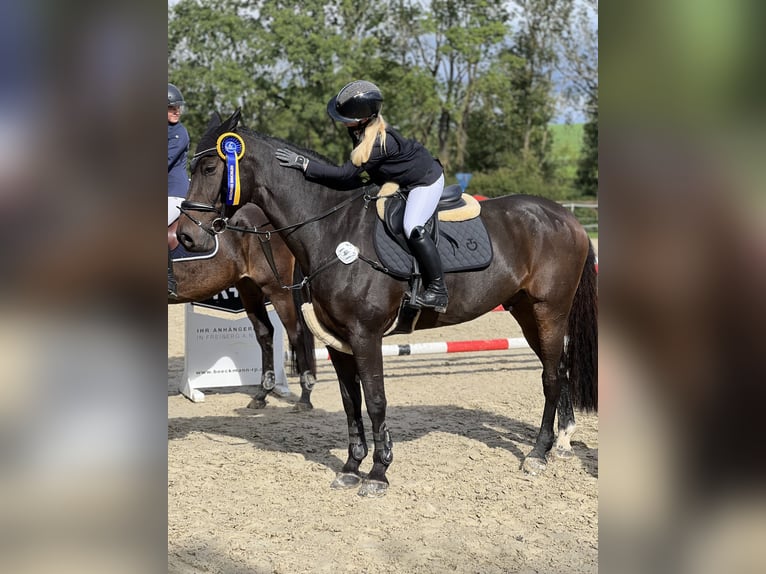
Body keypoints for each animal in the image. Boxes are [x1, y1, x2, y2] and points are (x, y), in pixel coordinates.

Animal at [171, 200, 318, 412]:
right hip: (249, 288)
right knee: (265, 333)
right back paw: (262, 394)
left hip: (277, 290)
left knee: (295, 332)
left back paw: (305, 397)